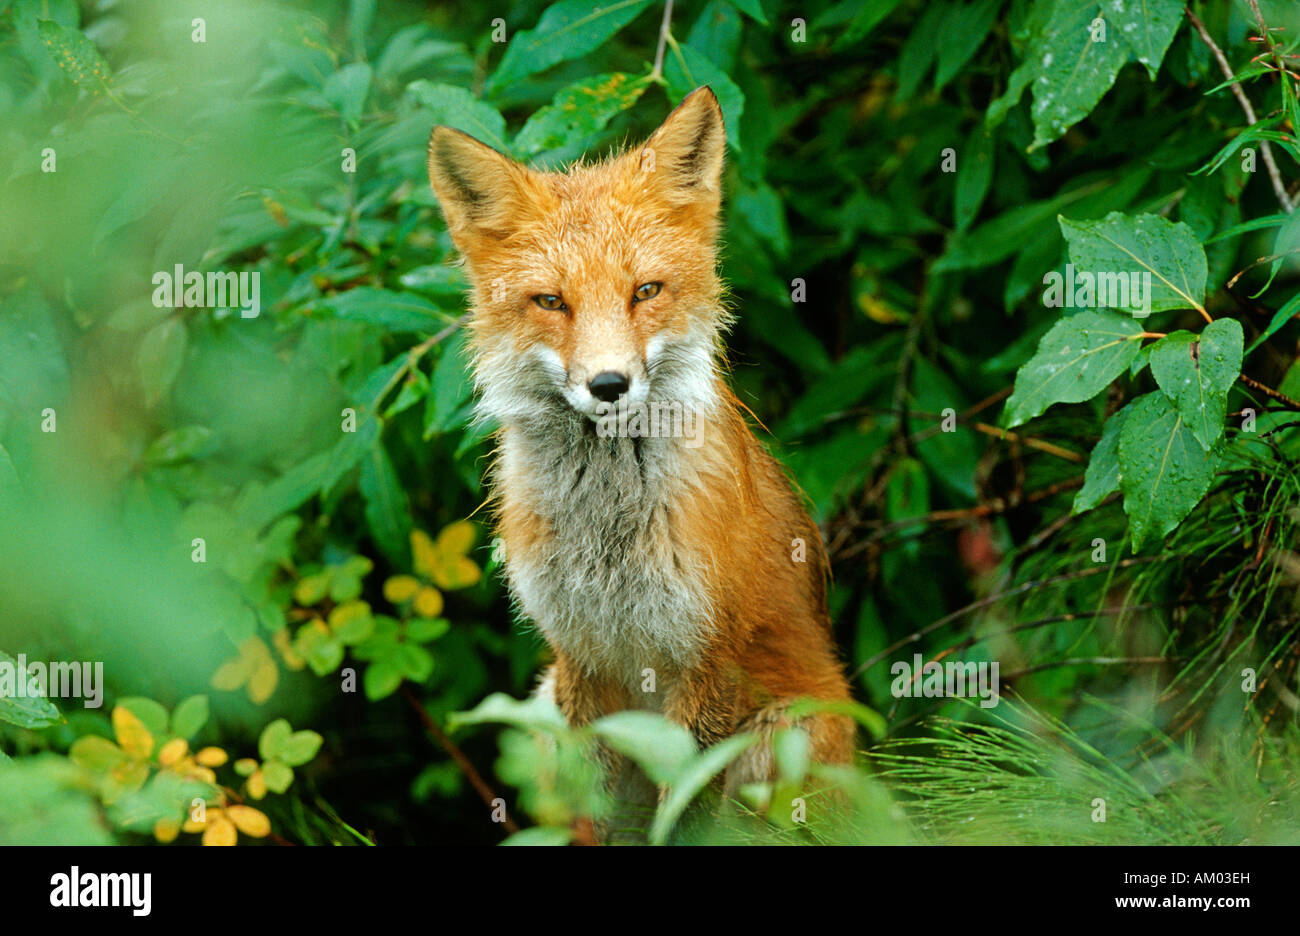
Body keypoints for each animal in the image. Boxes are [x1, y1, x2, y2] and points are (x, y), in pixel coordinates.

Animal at [426, 87, 852, 832]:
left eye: (645, 291)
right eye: (552, 302)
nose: (608, 385)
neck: (609, 541)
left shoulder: (707, 663)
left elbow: (683, 813)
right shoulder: (582, 657)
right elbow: (590, 813)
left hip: (782, 742)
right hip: (543, 704)